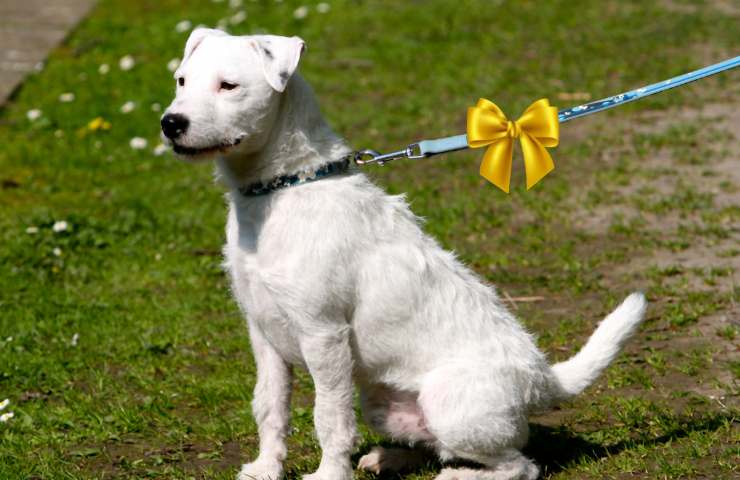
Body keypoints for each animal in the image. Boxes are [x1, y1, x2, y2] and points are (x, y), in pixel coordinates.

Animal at [163, 30, 648, 480]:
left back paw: (454, 476)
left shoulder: (323, 334)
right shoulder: (263, 334)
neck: (282, 188)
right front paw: (266, 467)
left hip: (450, 404)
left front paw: (329, 473)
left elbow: (330, 419)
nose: (171, 123)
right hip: (383, 403)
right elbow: (269, 407)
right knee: (438, 445)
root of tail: (543, 379)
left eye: (229, 86)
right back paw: (389, 457)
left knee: (519, 465)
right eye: (182, 80)